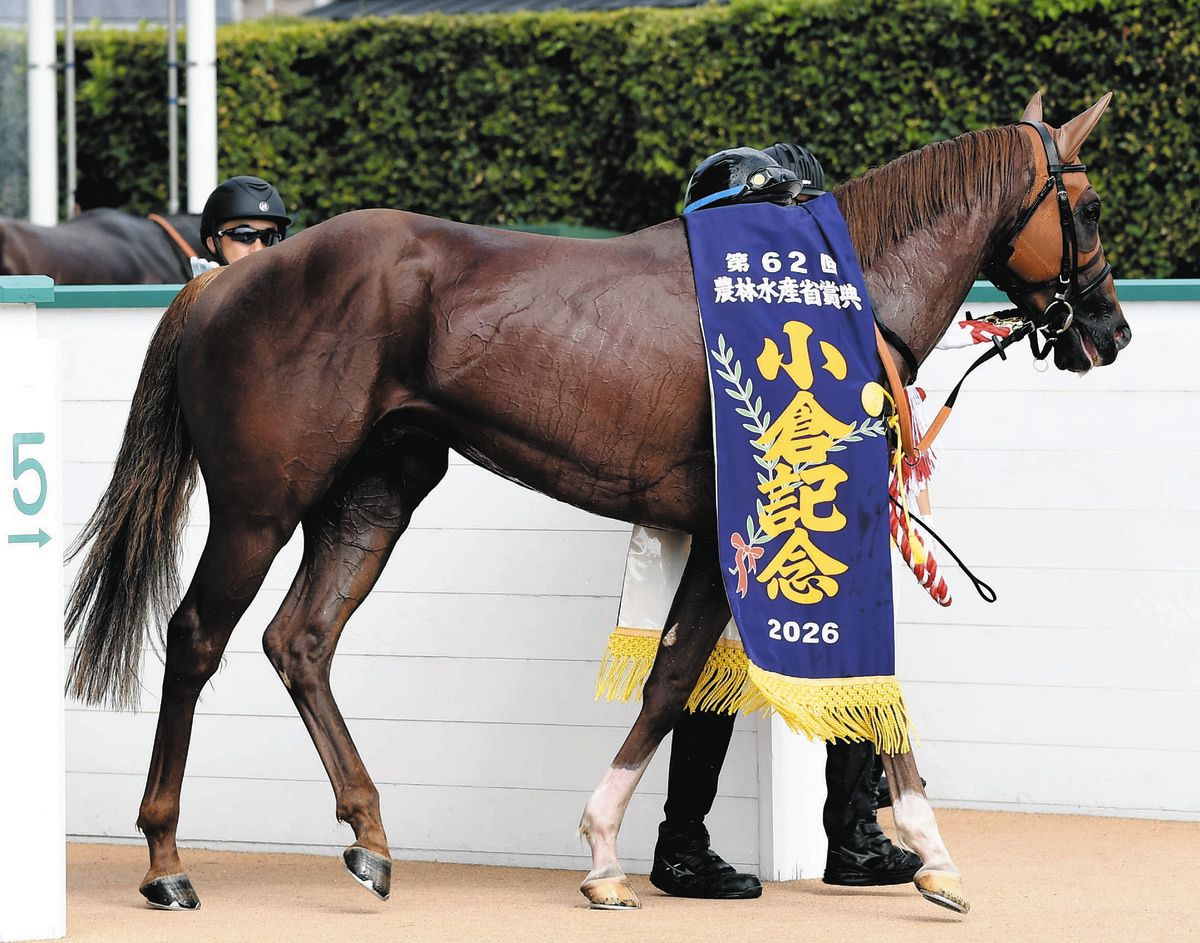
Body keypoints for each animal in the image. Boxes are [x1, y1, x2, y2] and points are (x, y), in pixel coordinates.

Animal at [64, 90, 1131, 915]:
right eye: (1086, 203)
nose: (1111, 328)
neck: (827, 297)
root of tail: (225, 281)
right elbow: (849, 687)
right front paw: (934, 853)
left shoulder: (720, 532)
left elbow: (674, 678)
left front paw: (608, 849)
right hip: (260, 502)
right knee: (197, 635)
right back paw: (165, 859)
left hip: (373, 495)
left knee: (302, 640)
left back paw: (369, 835)